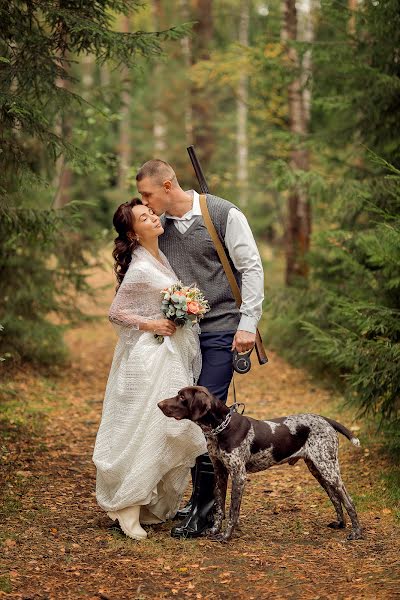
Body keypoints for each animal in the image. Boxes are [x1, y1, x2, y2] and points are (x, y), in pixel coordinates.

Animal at [158, 384, 364, 544]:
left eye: (182, 396)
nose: (159, 404)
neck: (222, 428)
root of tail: (325, 419)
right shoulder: (220, 471)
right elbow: (219, 507)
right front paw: (215, 530)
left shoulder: (239, 476)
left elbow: (232, 511)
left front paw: (226, 536)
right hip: (318, 468)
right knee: (335, 497)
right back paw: (340, 524)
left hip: (328, 469)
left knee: (348, 500)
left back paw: (356, 533)